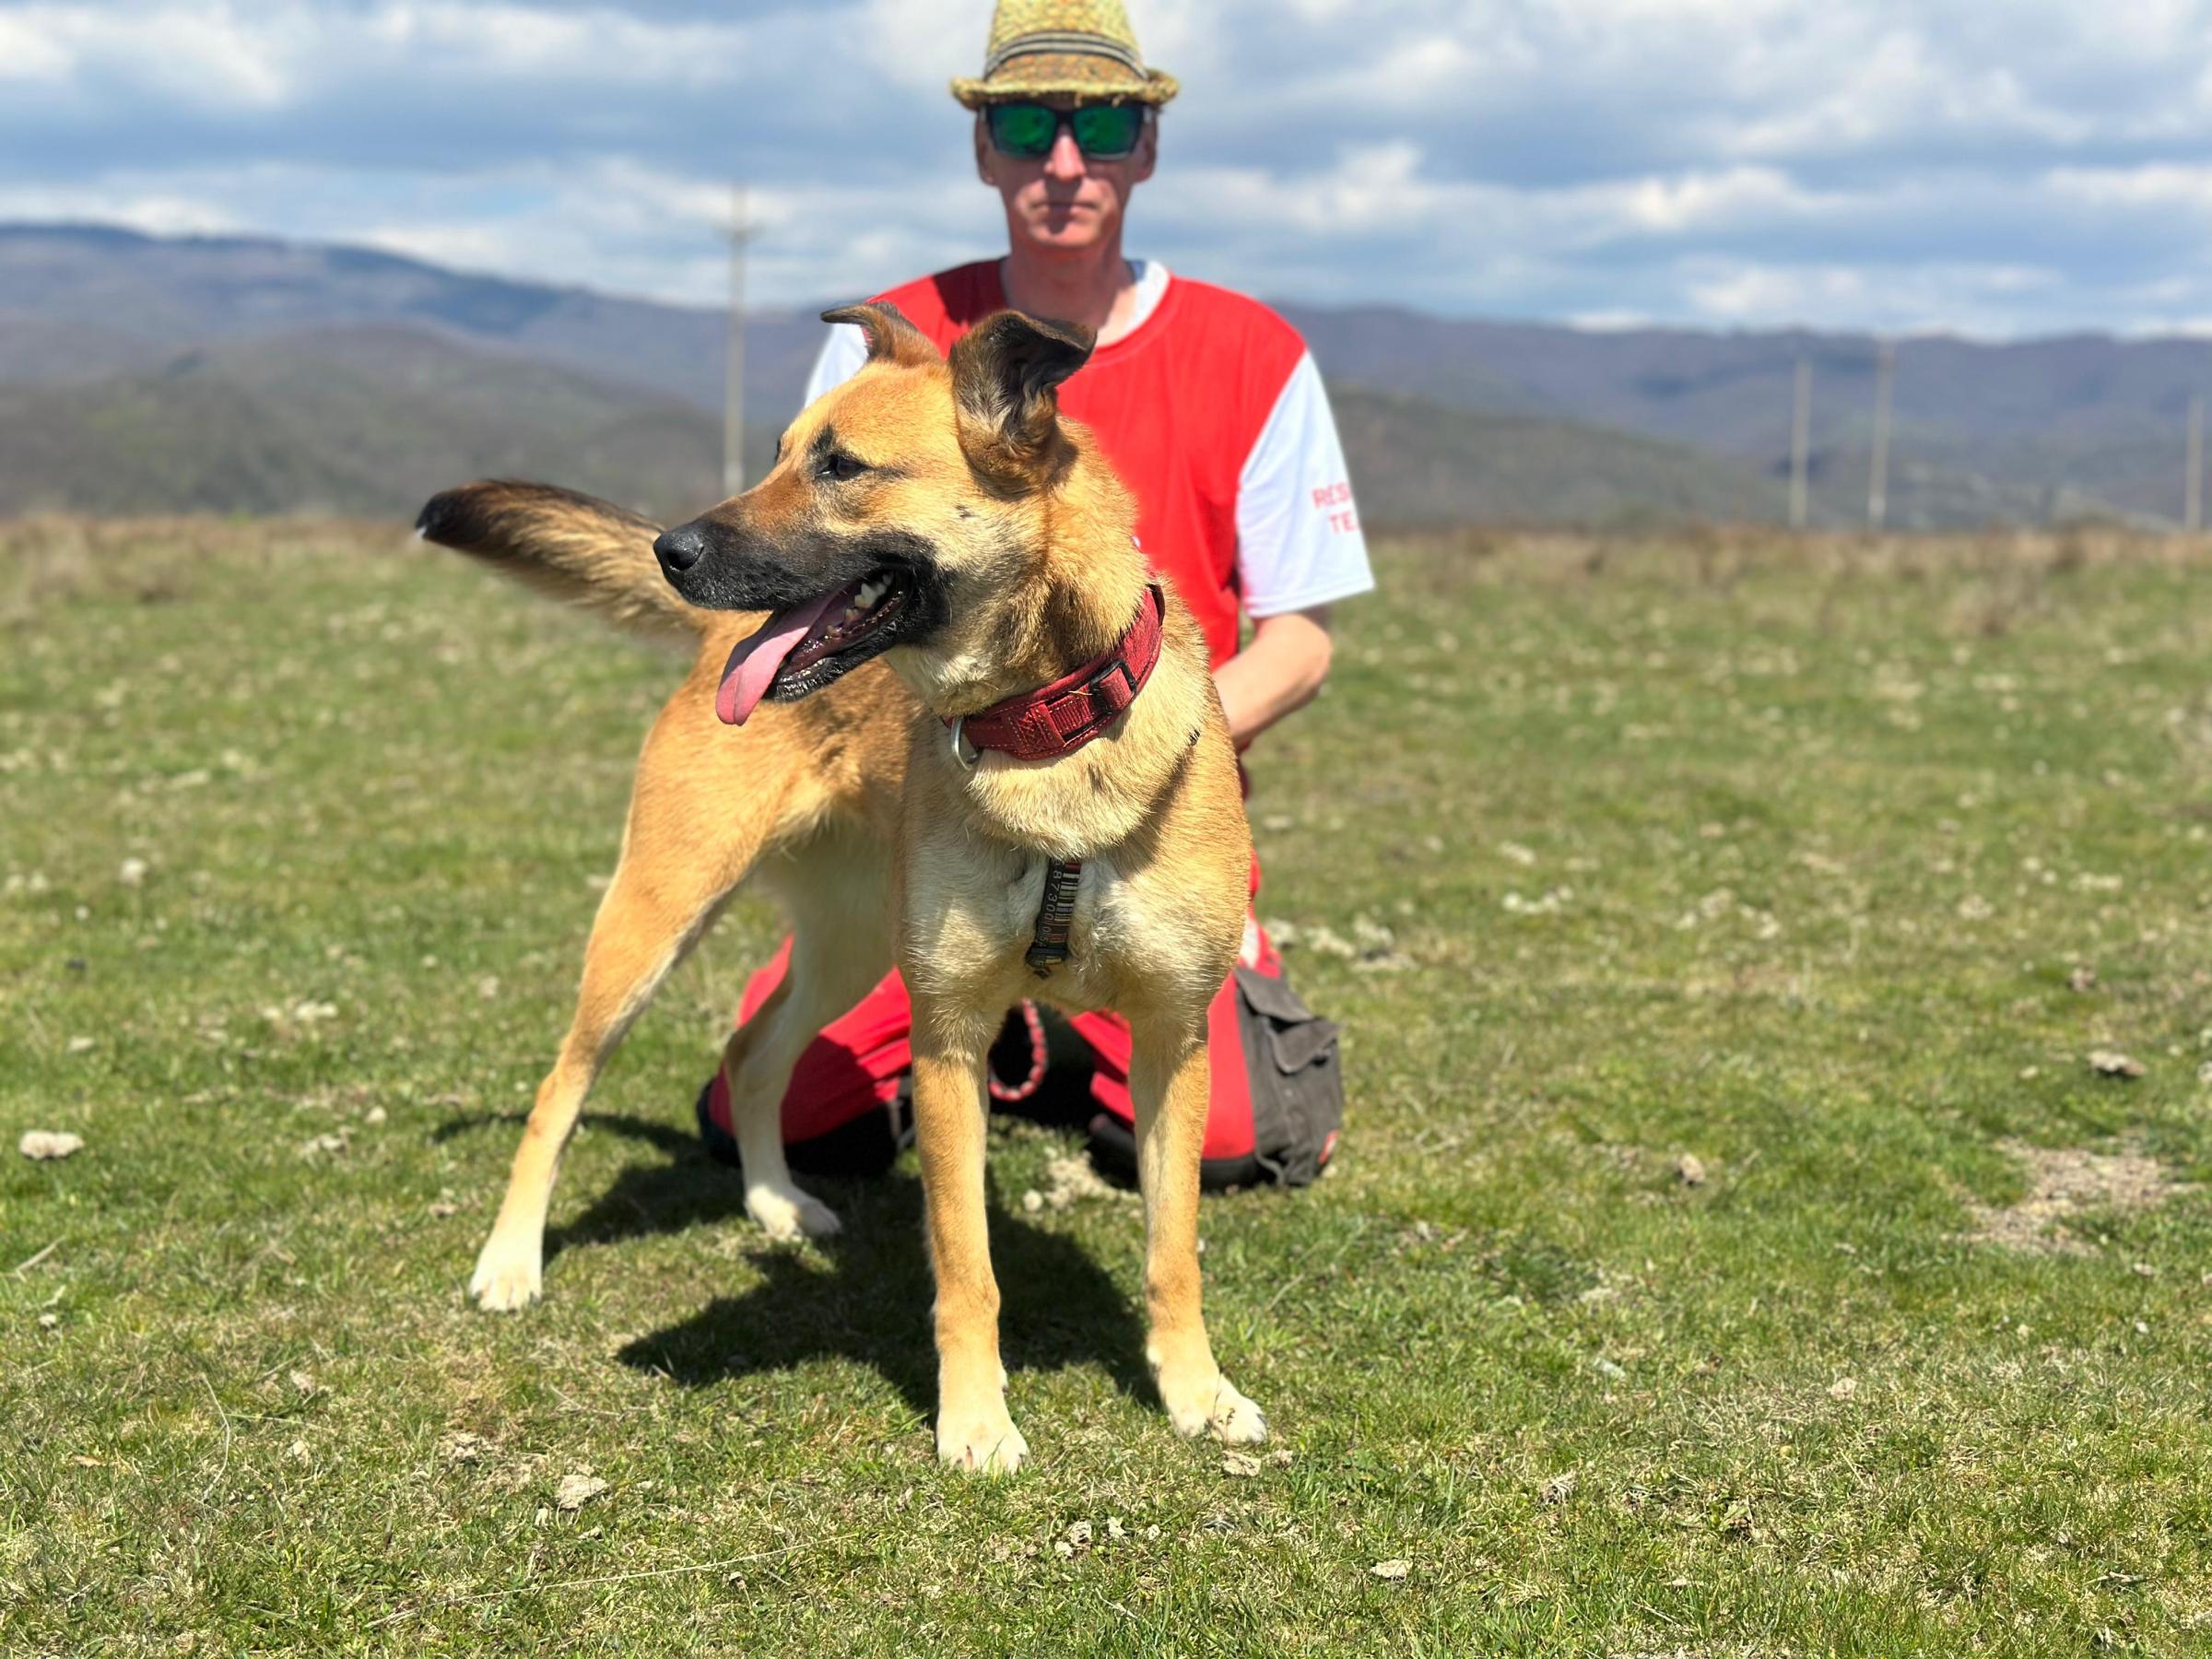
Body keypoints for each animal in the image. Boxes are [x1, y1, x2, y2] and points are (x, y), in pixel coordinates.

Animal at [417, 302, 1264, 1471]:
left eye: (842, 467)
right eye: (777, 455)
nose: (670, 550)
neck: (1048, 730)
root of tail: (717, 638)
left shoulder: (1173, 1038)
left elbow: (1172, 1249)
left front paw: (1197, 1392)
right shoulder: (950, 1039)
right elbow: (966, 1265)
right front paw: (976, 1419)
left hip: (851, 946)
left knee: (753, 1051)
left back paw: (776, 1204)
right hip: (658, 917)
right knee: (562, 1089)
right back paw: (510, 1261)